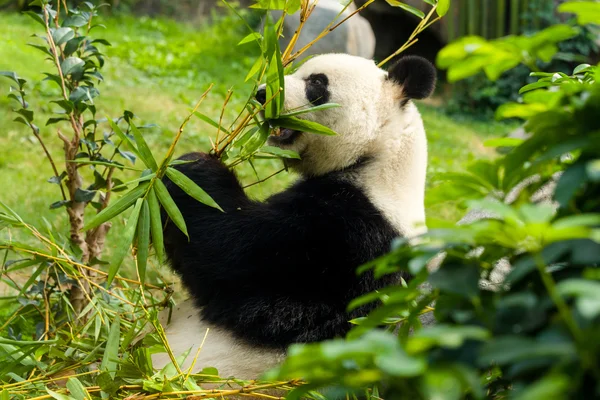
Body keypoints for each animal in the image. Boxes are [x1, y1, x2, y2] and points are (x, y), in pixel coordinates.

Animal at [151, 53, 436, 378]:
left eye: (317, 83)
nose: (263, 94)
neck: (381, 158)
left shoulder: (348, 243)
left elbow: (234, 258)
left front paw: (191, 171)